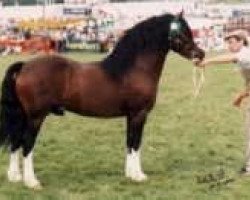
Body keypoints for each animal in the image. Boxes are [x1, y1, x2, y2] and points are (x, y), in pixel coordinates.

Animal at [0, 12, 204, 189]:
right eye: (181, 32)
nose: (200, 54)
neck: (133, 68)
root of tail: (25, 66)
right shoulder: (139, 114)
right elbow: (136, 143)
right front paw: (139, 175)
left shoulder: (130, 116)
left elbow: (129, 142)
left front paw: (129, 174)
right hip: (36, 117)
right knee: (27, 144)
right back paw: (31, 182)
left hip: (23, 116)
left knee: (16, 142)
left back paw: (15, 177)